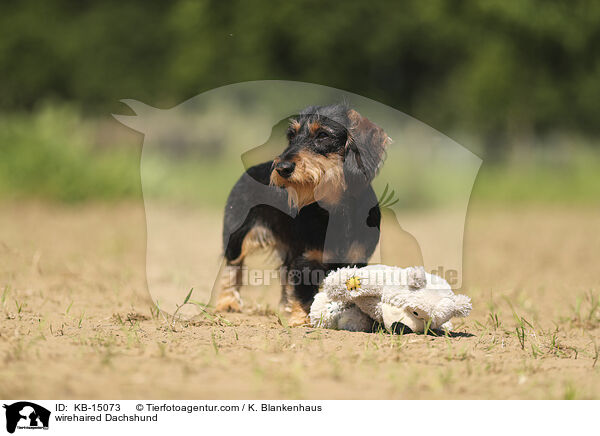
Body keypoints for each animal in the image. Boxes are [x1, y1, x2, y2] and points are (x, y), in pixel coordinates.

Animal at [216, 104, 390, 326]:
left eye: (323, 135)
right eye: (291, 135)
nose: (281, 168)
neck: (334, 210)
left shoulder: (355, 260)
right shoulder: (304, 260)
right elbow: (303, 294)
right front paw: (300, 321)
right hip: (237, 237)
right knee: (232, 268)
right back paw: (228, 303)